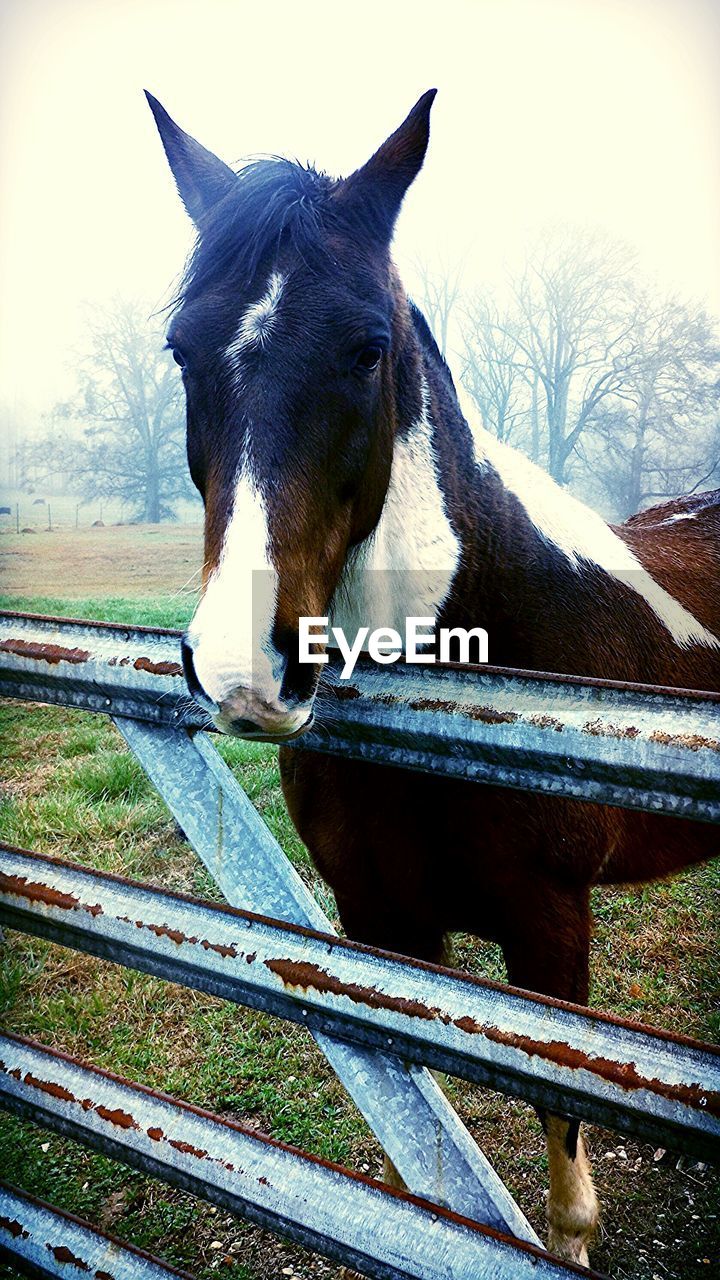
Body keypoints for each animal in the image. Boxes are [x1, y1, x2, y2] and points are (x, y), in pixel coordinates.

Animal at [147, 87, 717, 1259]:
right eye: (182, 351)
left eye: (370, 348)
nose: (247, 668)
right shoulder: (381, 927)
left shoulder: (552, 934)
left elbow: (562, 1140)